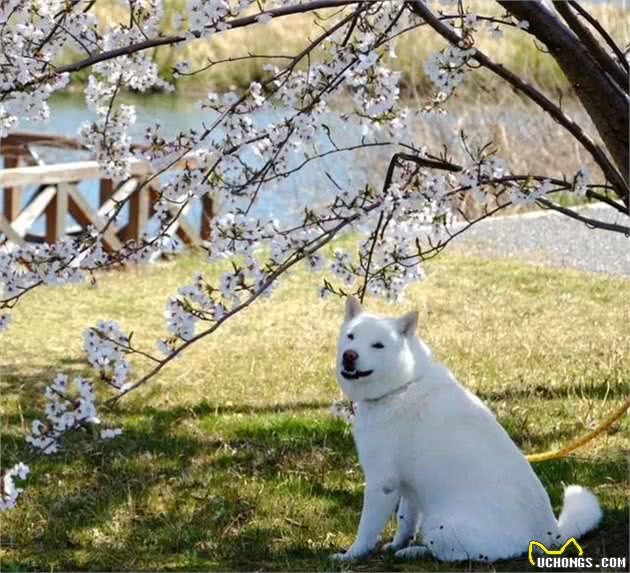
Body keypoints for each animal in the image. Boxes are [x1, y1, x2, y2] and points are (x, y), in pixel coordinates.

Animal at [330, 298, 604, 560]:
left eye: (378, 345)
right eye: (351, 336)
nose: (349, 355)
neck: (403, 386)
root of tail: (551, 534)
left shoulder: (381, 483)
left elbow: (366, 529)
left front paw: (351, 555)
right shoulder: (408, 487)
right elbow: (405, 520)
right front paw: (397, 543)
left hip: (439, 524)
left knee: (451, 555)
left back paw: (415, 552)